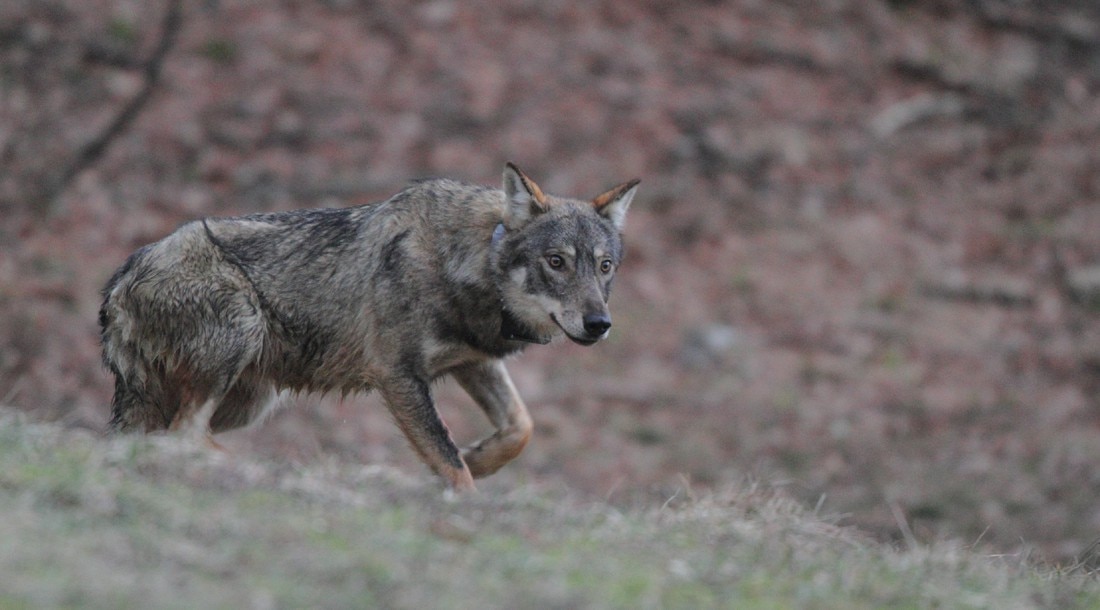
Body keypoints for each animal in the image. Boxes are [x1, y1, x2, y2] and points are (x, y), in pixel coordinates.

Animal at [99, 164, 642, 494]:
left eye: (605, 266)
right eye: (557, 262)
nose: (599, 324)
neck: (470, 263)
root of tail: (120, 281)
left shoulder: (473, 362)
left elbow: (520, 427)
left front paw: (480, 457)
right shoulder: (399, 376)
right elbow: (450, 465)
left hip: (251, 400)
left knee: (161, 436)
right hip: (241, 338)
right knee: (181, 435)